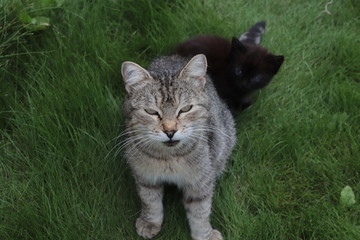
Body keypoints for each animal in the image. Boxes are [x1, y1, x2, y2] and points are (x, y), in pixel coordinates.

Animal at [120, 54, 236, 240]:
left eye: (186, 109)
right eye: (151, 112)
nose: (170, 131)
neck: (169, 157)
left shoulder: (200, 182)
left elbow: (200, 212)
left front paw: (205, 235)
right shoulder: (145, 177)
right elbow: (150, 201)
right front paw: (150, 222)